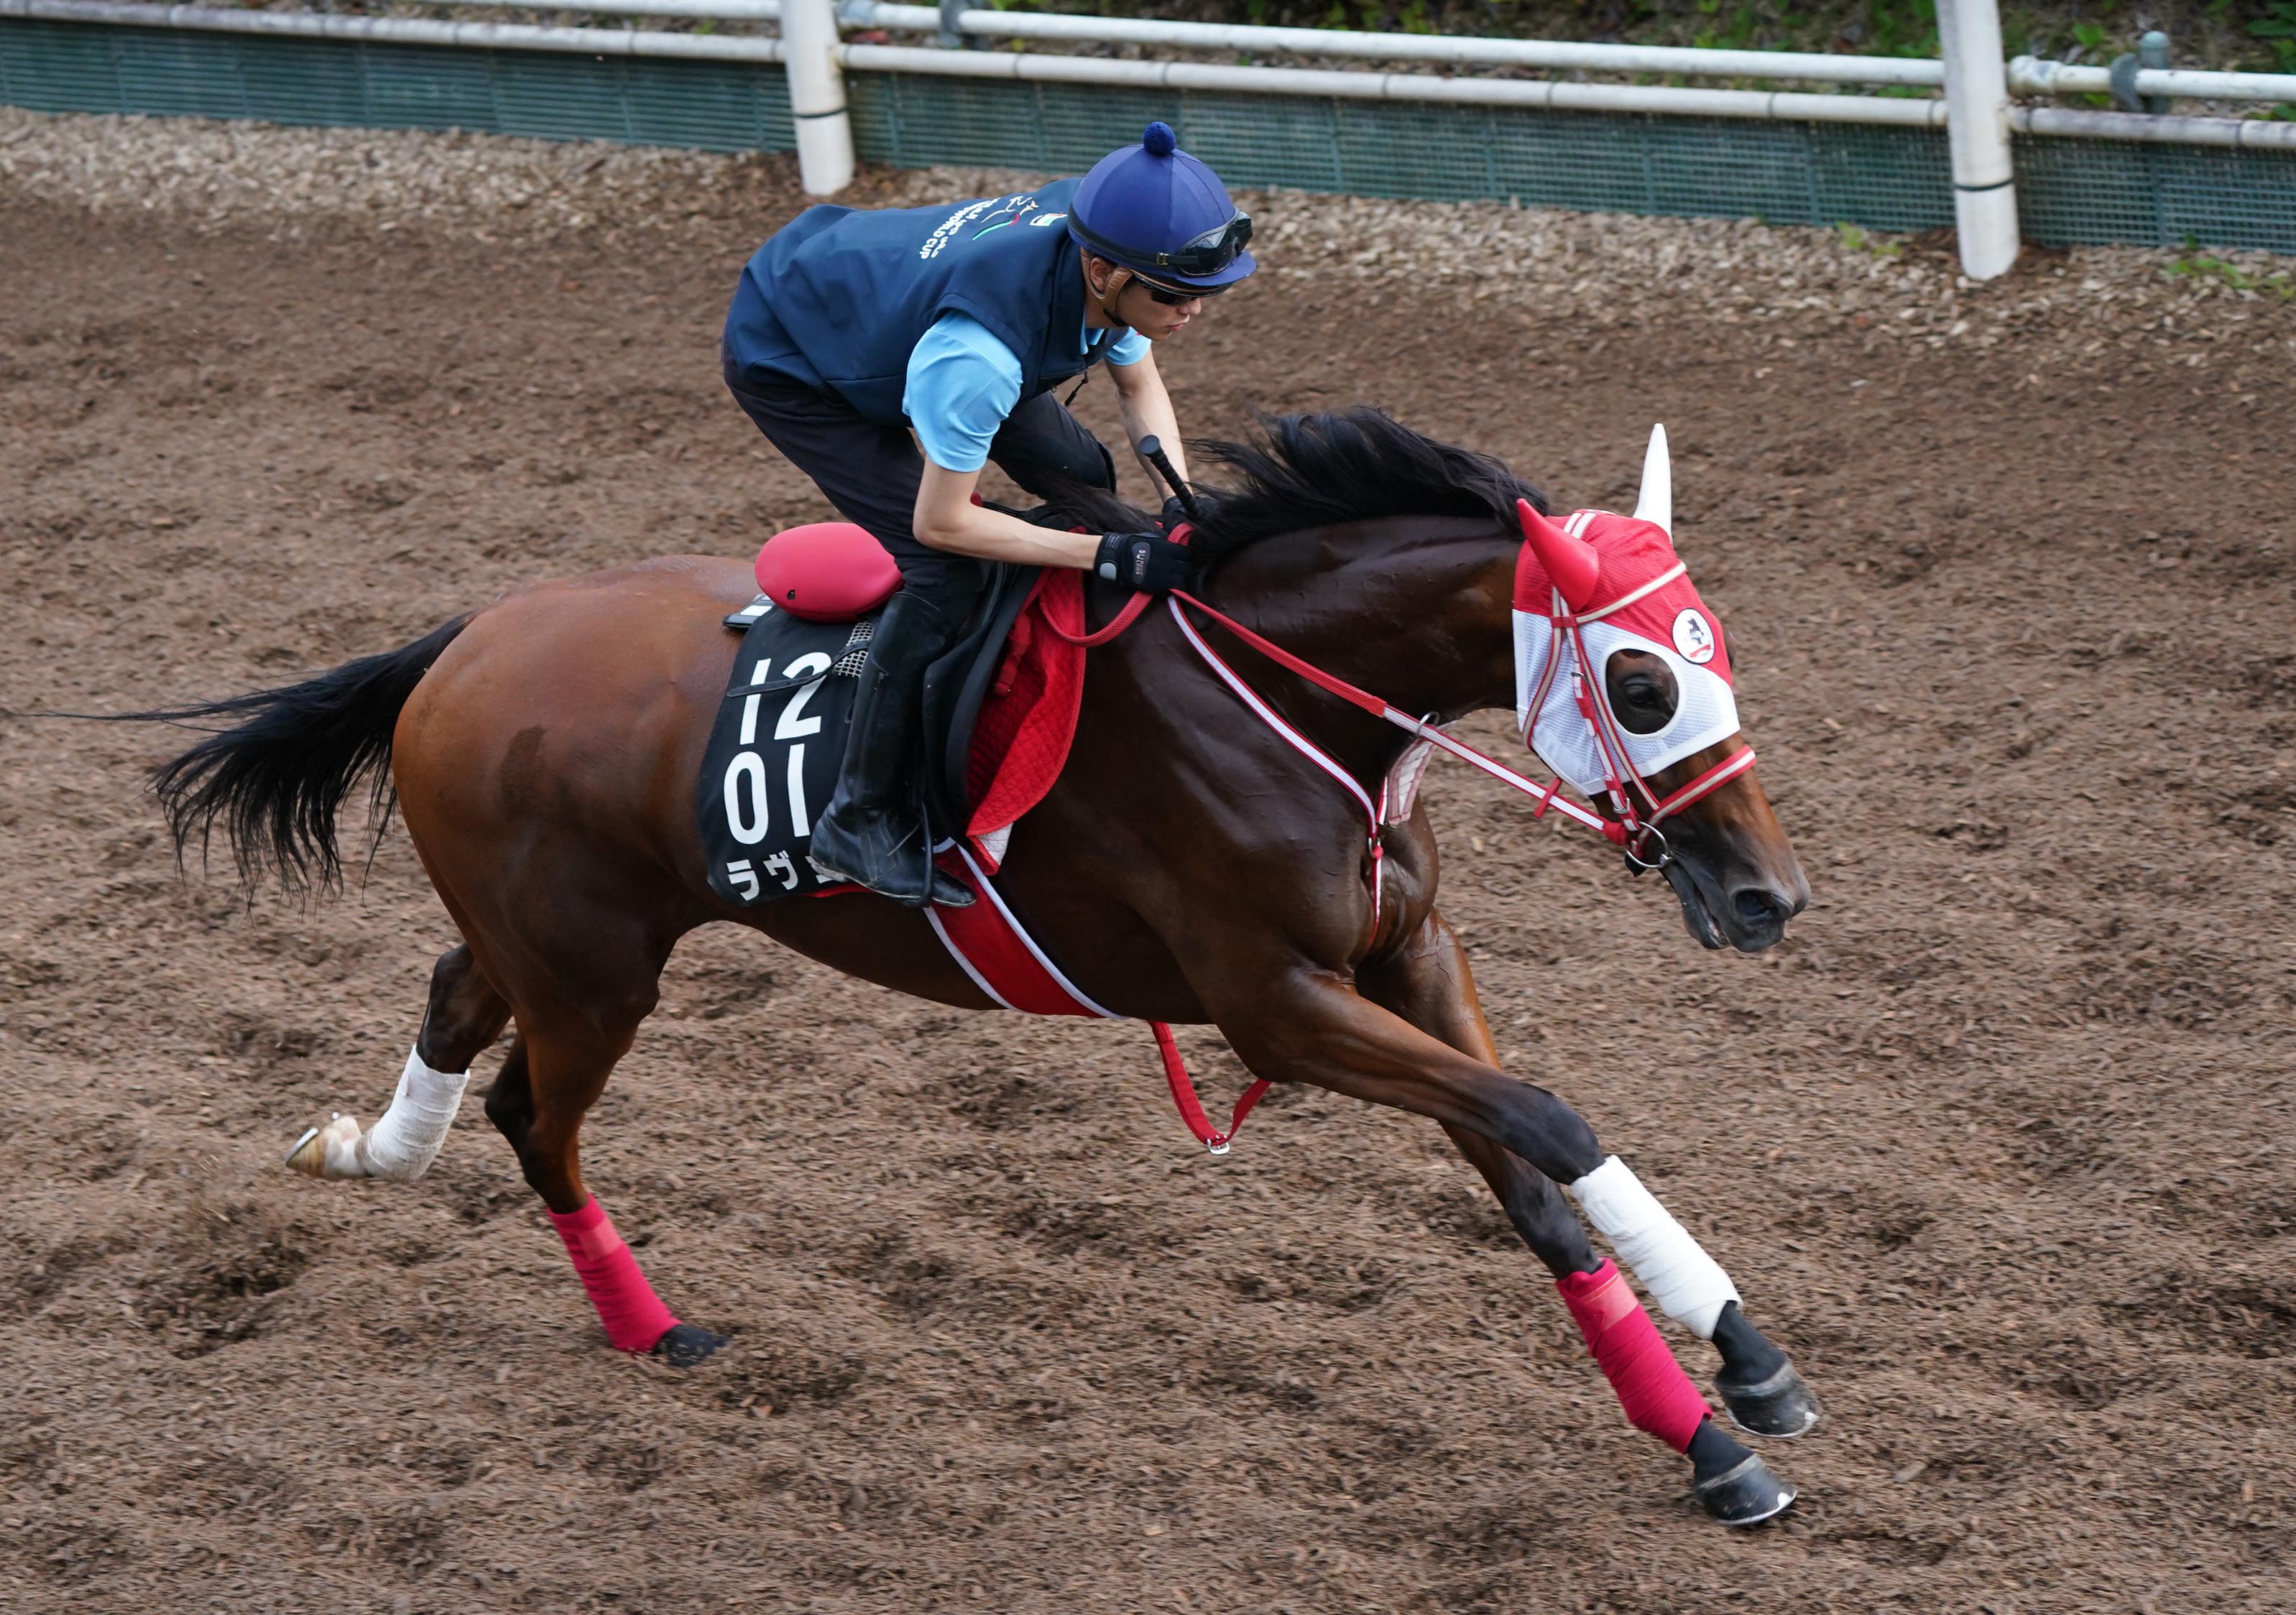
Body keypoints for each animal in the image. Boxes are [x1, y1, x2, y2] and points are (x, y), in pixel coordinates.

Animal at [148, 410, 1827, 1523]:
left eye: (1719, 647)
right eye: (1640, 677)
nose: (1767, 896)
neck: (1281, 701)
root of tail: (461, 643)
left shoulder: (1406, 957)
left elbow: (1532, 1171)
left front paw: (1723, 1400)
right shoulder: (1276, 1006)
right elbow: (1546, 1117)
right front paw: (1737, 1369)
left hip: (567, 936)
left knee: (454, 997)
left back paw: (360, 1147)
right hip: (596, 974)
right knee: (531, 1119)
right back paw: (648, 1324)